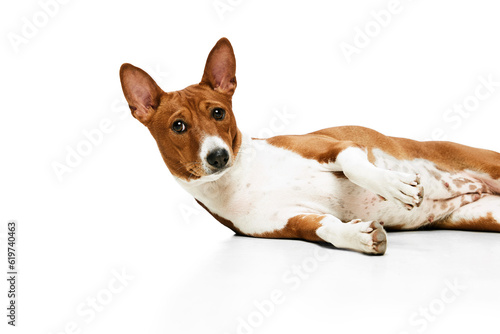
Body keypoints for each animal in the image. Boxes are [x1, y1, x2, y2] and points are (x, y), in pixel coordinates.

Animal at [119, 37, 500, 254]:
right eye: (178, 126)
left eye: (218, 112)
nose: (217, 155)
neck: (238, 179)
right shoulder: (290, 222)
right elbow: (327, 229)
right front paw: (359, 237)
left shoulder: (332, 145)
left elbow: (358, 167)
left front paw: (395, 186)